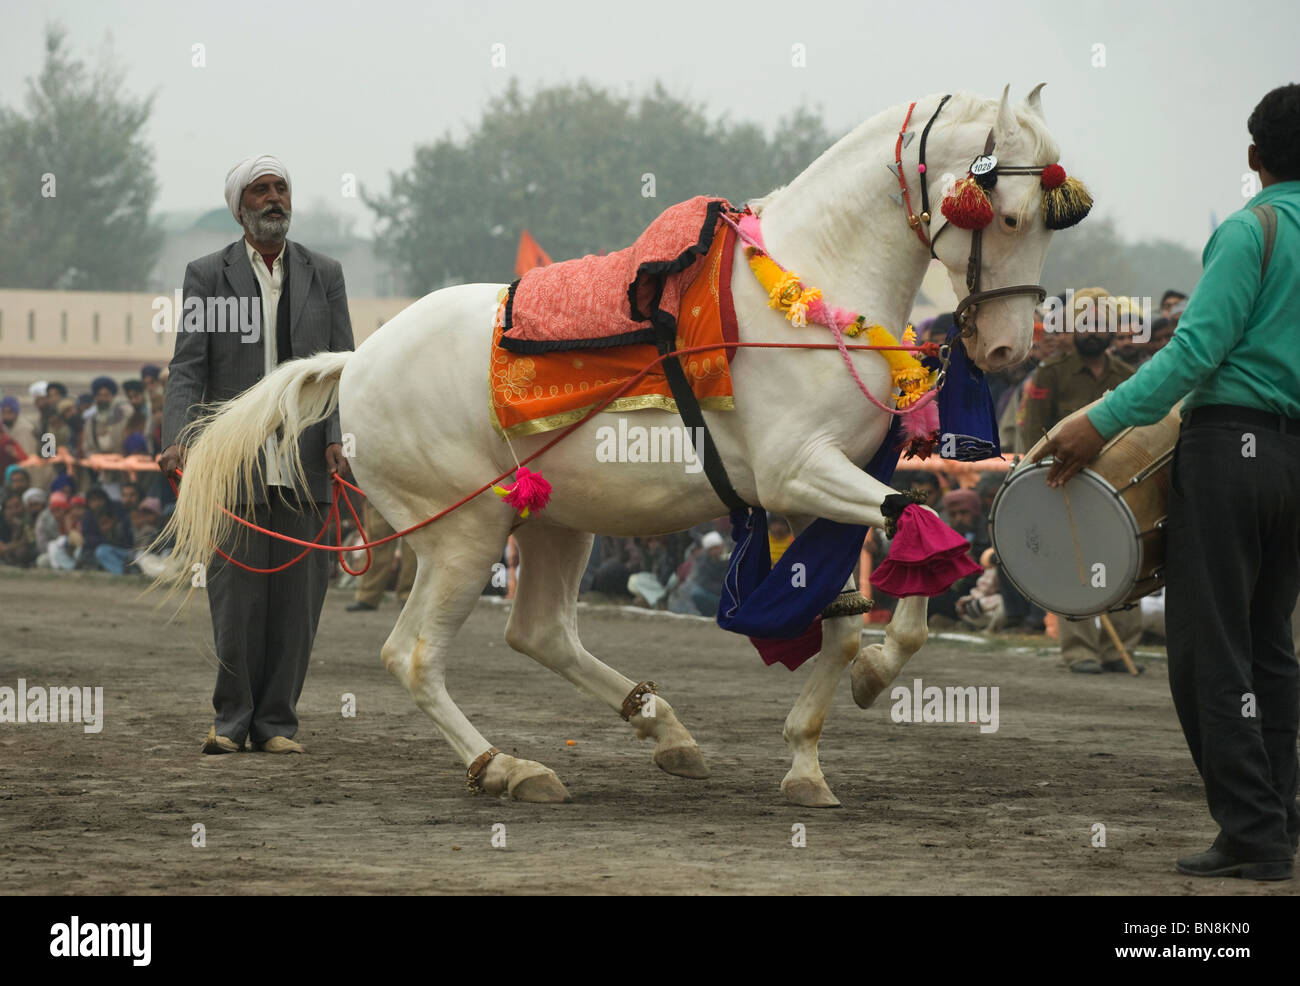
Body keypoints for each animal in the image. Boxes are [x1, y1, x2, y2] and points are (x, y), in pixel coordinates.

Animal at [165, 85, 1097, 811]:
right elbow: (915, 539)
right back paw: (505, 766)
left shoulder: (815, 490)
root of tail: (356, 360)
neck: (806, 291)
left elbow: (866, 594)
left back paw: (664, 729)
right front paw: (862, 687)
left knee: (538, 634)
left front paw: (814, 747)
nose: (1007, 349)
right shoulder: (799, 472)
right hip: (464, 530)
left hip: (555, 519)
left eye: (1052, 225)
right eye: (1007, 215)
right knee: (415, 654)